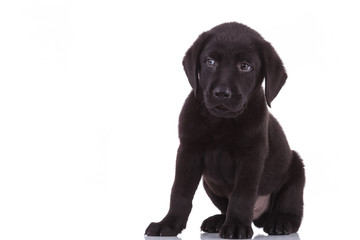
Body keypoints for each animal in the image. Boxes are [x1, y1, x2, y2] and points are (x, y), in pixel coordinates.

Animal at [144, 22, 304, 238]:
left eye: (245, 66)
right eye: (210, 62)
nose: (221, 93)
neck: (221, 122)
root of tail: (259, 217)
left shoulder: (251, 157)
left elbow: (242, 195)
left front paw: (236, 225)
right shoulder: (188, 151)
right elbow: (180, 192)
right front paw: (169, 223)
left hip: (296, 168)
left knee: (292, 208)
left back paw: (281, 222)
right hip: (209, 183)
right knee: (224, 207)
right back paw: (218, 221)